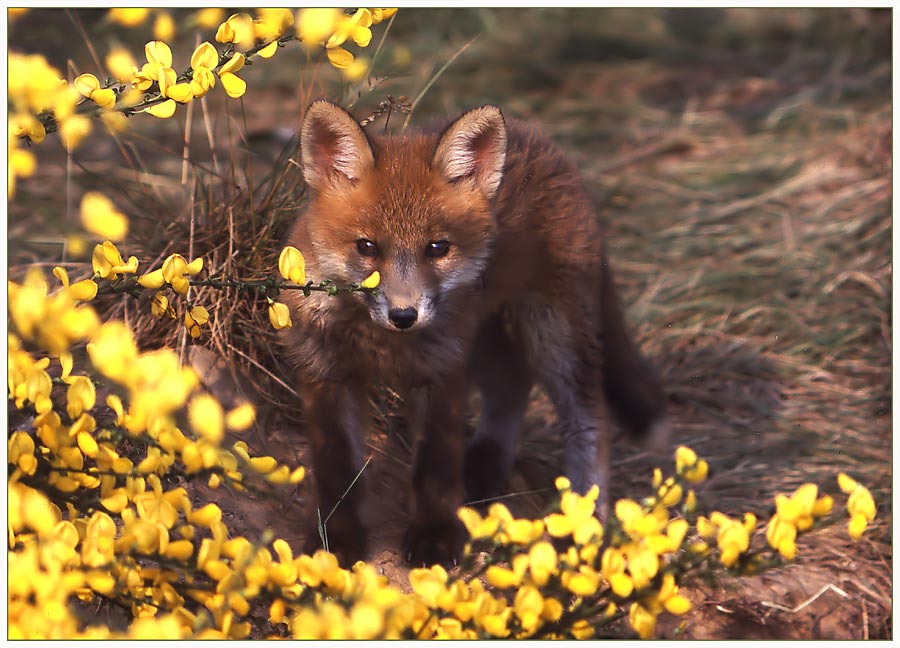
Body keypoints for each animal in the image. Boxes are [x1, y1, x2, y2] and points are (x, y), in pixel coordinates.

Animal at [282, 98, 668, 564]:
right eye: (367, 247)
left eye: (437, 248)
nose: (404, 315)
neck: (381, 343)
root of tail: (540, 138)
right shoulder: (326, 371)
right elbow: (336, 469)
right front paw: (335, 541)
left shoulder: (441, 369)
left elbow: (435, 465)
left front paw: (435, 536)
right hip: (485, 338)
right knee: (512, 385)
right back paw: (484, 469)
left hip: (552, 330)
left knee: (588, 415)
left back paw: (584, 516)